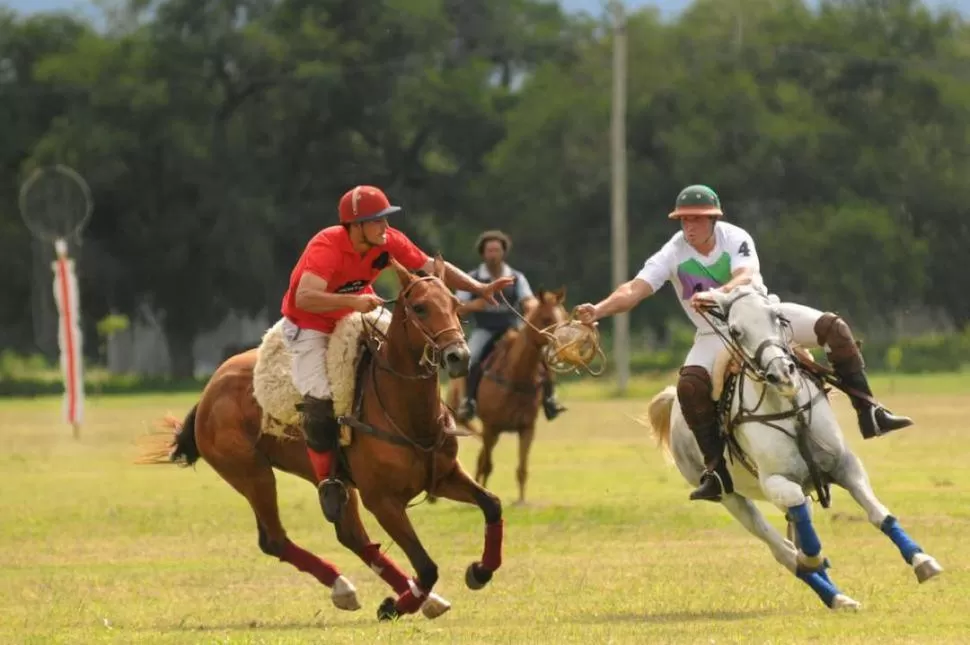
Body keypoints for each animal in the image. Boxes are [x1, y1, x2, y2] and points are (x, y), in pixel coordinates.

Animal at [142, 255, 506, 620]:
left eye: (456, 305)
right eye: (420, 308)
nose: (459, 356)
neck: (409, 415)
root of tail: (208, 391)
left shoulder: (443, 477)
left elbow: (492, 503)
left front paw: (479, 571)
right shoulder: (382, 500)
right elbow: (427, 566)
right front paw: (394, 605)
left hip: (329, 478)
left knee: (351, 535)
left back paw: (416, 597)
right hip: (250, 472)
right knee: (276, 539)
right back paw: (344, 587)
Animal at [444, 286, 572, 504]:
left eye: (563, 317)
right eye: (546, 319)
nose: (561, 346)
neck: (517, 377)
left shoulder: (527, 429)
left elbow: (522, 468)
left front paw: (521, 502)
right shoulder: (491, 428)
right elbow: (487, 465)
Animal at [644, 286, 936, 608]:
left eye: (778, 317)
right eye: (735, 331)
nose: (783, 373)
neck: (789, 409)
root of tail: (672, 402)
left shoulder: (844, 464)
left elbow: (878, 512)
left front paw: (923, 560)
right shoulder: (775, 481)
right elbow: (800, 525)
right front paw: (812, 558)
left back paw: (839, 594)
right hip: (731, 497)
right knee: (783, 549)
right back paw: (834, 596)